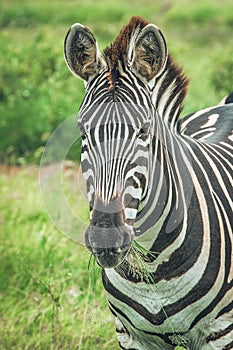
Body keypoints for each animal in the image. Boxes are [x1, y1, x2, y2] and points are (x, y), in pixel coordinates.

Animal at [64, 16, 233, 350]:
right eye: (83, 131)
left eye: (143, 131)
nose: (106, 239)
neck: (152, 268)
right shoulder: (131, 335)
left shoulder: (220, 332)